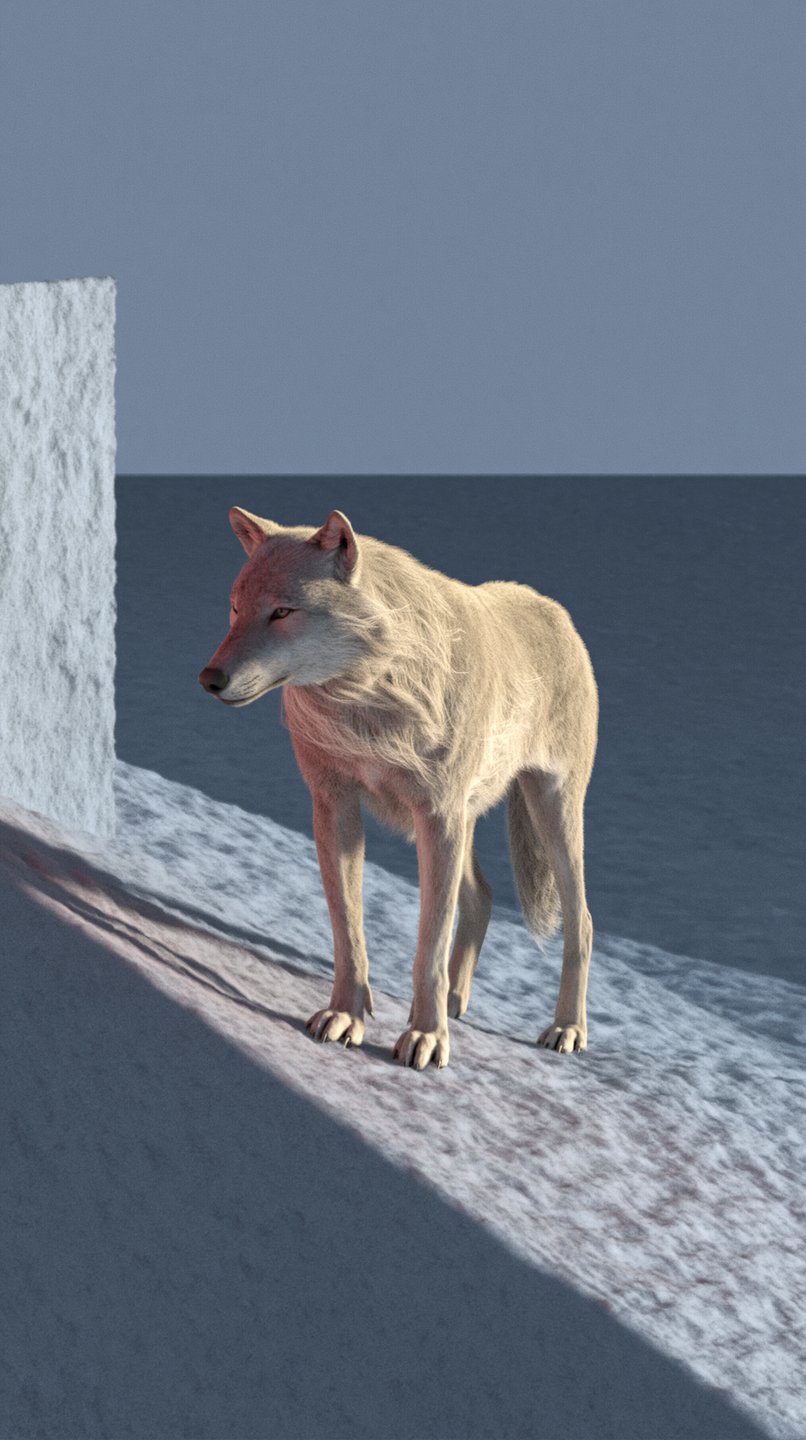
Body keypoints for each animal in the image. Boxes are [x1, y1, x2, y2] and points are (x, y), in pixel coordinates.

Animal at [199, 507, 598, 1071]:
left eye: (281, 612)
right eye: (235, 609)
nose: (209, 678)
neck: (368, 699)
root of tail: (556, 611)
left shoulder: (437, 816)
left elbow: (428, 947)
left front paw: (426, 1038)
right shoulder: (334, 805)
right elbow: (348, 931)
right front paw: (345, 1016)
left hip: (550, 812)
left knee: (580, 921)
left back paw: (567, 1028)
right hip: (467, 820)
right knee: (483, 895)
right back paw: (456, 999)